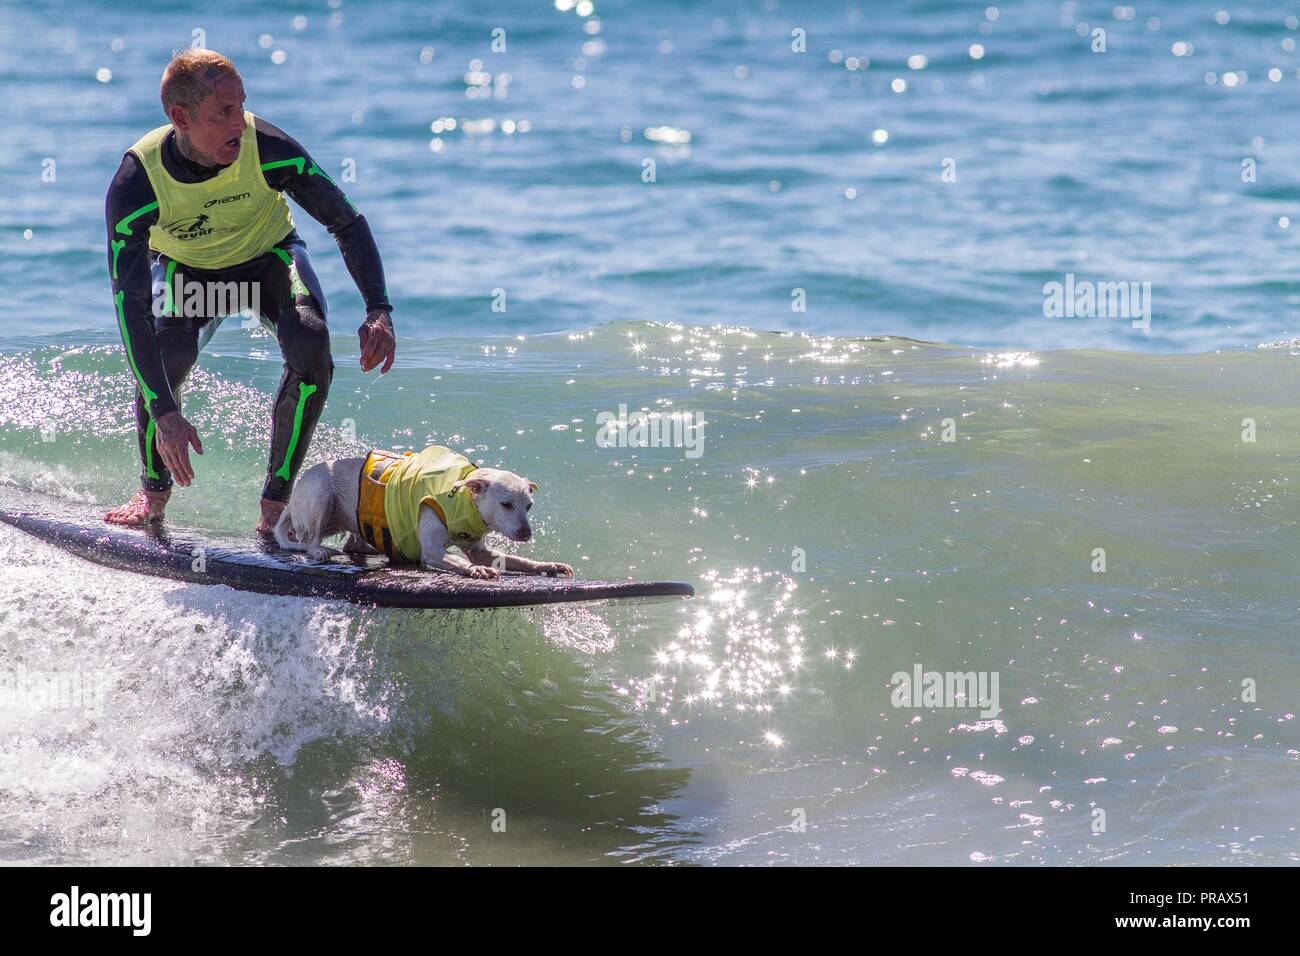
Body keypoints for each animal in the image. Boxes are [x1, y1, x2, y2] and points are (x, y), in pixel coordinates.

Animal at [274, 444, 574, 580]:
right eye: (506, 504)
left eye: (529, 506)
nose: (526, 533)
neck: (464, 500)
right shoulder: (432, 550)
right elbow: (460, 560)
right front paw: (476, 570)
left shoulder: (482, 550)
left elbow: (520, 561)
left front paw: (549, 565)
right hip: (321, 496)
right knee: (308, 539)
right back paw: (318, 551)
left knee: (351, 543)